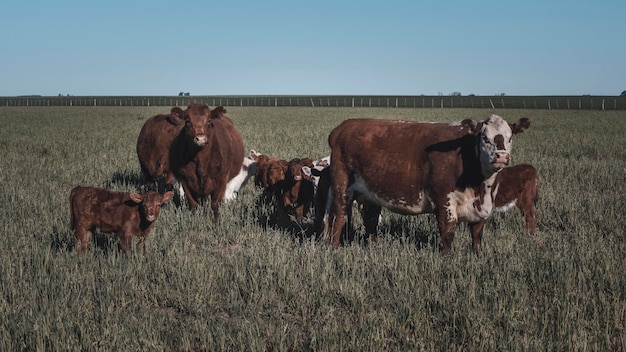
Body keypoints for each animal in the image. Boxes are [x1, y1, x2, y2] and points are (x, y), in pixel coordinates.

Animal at [326, 115, 528, 256]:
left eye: (510, 138)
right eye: (485, 138)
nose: (501, 155)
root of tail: (345, 126)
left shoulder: (481, 209)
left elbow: (477, 235)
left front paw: (477, 256)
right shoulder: (444, 201)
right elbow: (447, 233)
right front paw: (446, 258)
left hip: (370, 194)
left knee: (370, 220)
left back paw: (375, 247)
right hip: (342, 187)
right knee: (339, 218)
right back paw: (334, 248)